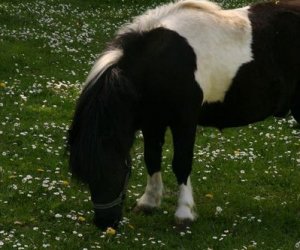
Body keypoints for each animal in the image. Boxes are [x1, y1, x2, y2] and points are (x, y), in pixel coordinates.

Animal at [68, 0, 300, 229]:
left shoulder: (185, 121)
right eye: (86, 176)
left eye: (113, 169)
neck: (161, 62)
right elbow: (152, 158)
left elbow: (181, 163)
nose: (105, 223)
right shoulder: (152, 121)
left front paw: (184, 213)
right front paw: (149, 202)